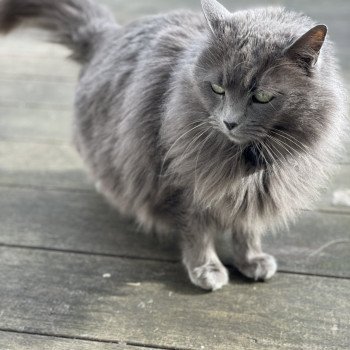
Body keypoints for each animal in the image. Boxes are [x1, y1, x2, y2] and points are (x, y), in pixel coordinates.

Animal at [0, 0, 344, 290]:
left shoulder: (254, 192)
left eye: (262, 97)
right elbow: (197, 232)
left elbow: (247, 227)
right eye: (217, 88)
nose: (229, 122)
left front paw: (252, 260)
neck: (245, 162)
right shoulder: (181, 186)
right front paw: (207, 270)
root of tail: (107, 35)